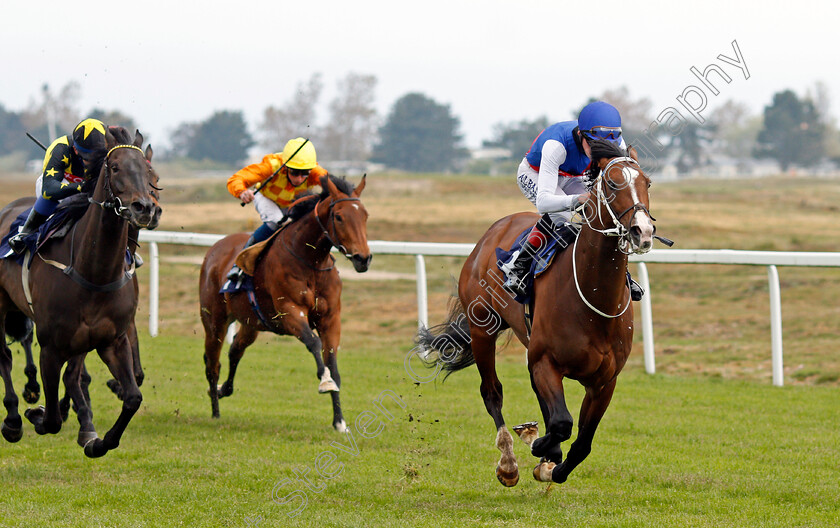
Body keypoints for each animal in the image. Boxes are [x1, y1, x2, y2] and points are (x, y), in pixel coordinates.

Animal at [0, 128, 162, 458]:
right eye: (115, 168)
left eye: (149, 173)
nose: (145, 208)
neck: (94, 272)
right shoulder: (51, 346)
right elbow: (50, 418)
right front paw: (37, 412)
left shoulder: (111, 339)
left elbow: (132, 396)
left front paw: (97, 440)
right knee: (5, 356)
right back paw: (13, 418)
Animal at [200, 175, 370, 432]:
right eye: (339, 216)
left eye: (365, 215)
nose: (363, 258)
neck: (311, 262)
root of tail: (215, 249)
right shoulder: (289, 312)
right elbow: (313, 342)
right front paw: (325, 381)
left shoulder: (331, 319)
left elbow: (333, 363)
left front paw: (340, 422)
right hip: (214, 321)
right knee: (213, 363)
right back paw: (215, 410)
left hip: (251, 323)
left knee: (235, 349)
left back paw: (222, 391)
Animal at [418, 141, 656, 486]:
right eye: (612, 184)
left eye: (647, 183)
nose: (643, 231)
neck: (594, 299)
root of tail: (493, 231)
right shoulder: (546, 361)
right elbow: (561, 423)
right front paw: (538, 444)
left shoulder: (604, 381)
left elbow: (581, 441)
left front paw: (550, 461)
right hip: (482, 330)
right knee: (492, 392)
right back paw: (508, 461)